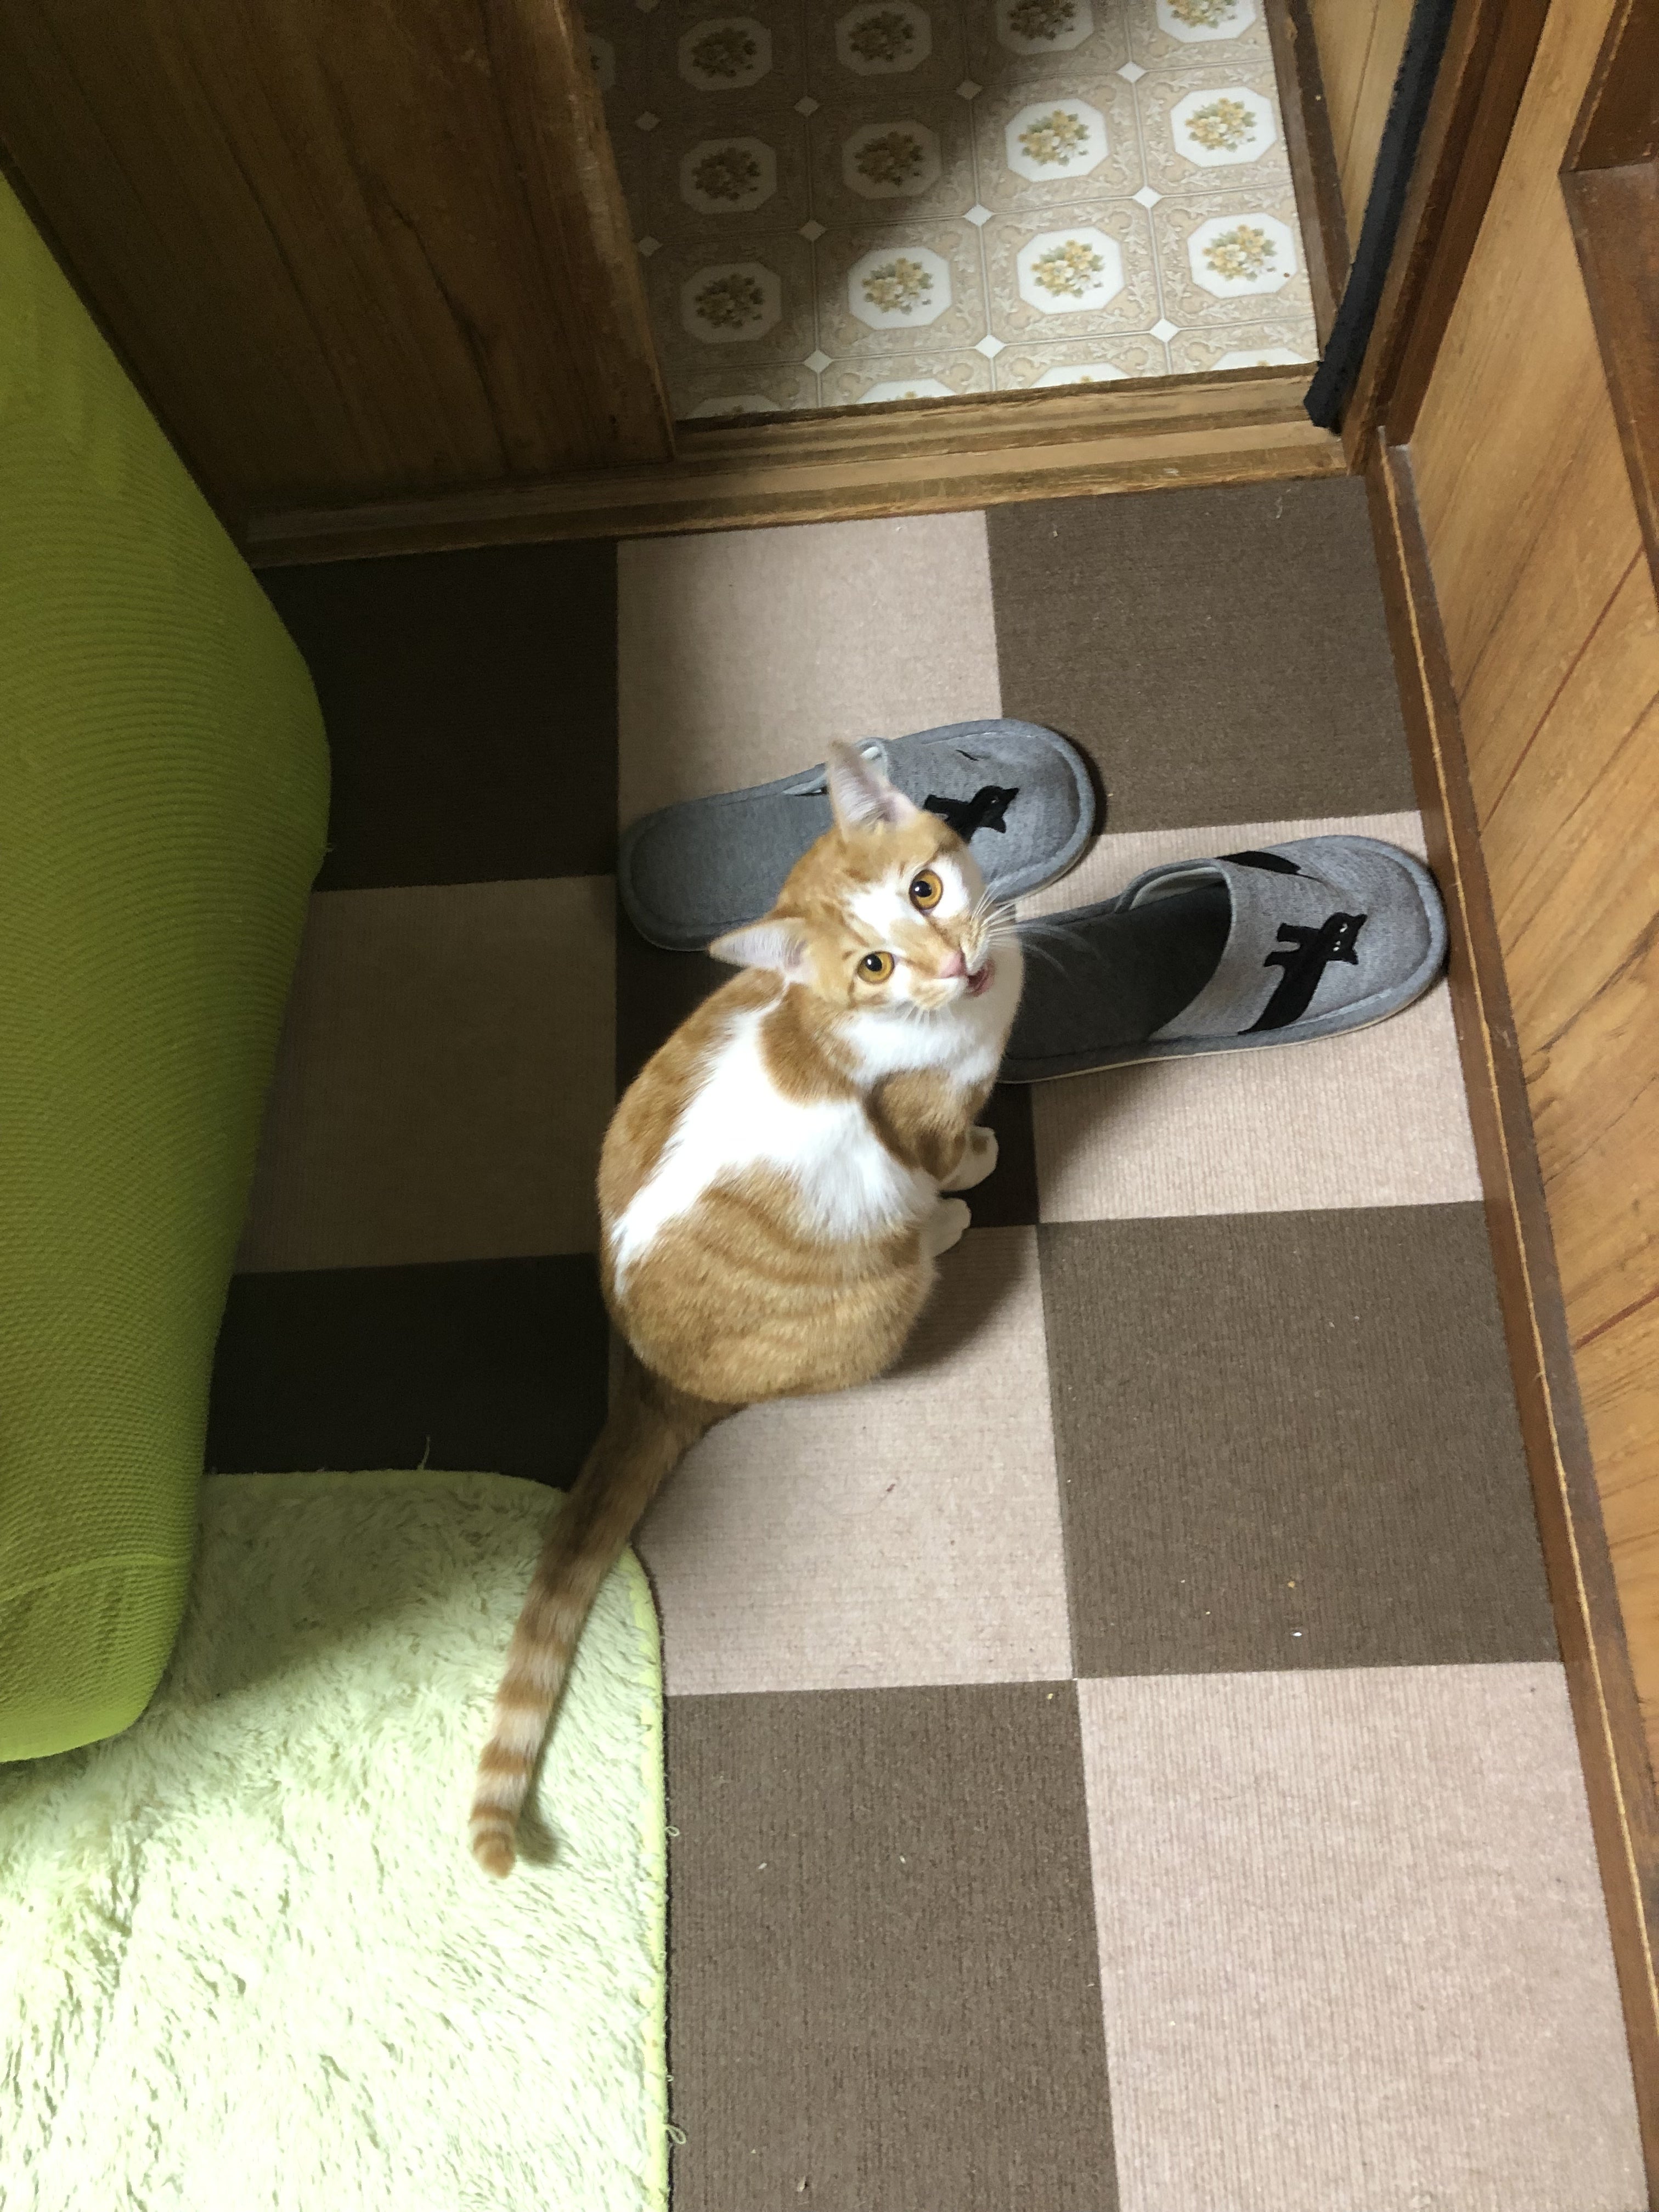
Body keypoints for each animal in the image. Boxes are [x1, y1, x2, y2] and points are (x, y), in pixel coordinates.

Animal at [469, 740, 1024, 1874]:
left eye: (925, 889)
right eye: (874, 966)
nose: (953, 963)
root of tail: (650, 1378)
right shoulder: (917, 1123)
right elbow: (947, 1148)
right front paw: (976, 1167)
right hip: (878, 1294)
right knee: (905, 1253)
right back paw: (938, 1232)